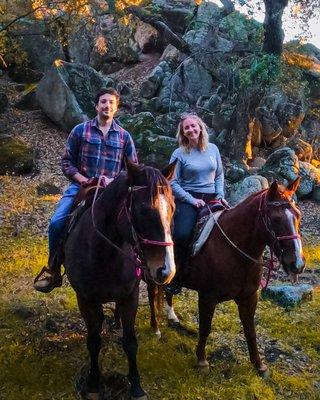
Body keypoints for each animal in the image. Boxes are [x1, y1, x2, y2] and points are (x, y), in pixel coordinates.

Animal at [63, 162, 176, 400]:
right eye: (143, 210)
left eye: (173, 208)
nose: (166, 270)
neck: (104, 254)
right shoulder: (85, 299)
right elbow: (94, 341)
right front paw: (93, 384)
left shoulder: (129, 297)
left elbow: (130, 342)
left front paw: (136, 386)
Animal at [148, 180, 304, 376]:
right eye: (276, 219)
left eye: (298, 215)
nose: (297, 264)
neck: (234, 250)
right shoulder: (207, 298)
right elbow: (205, 328)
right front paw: (202, 361)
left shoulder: (249, 297)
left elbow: (250, 330)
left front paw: (259, 365)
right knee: (151, 295)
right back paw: (155, 329)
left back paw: (172, 317)